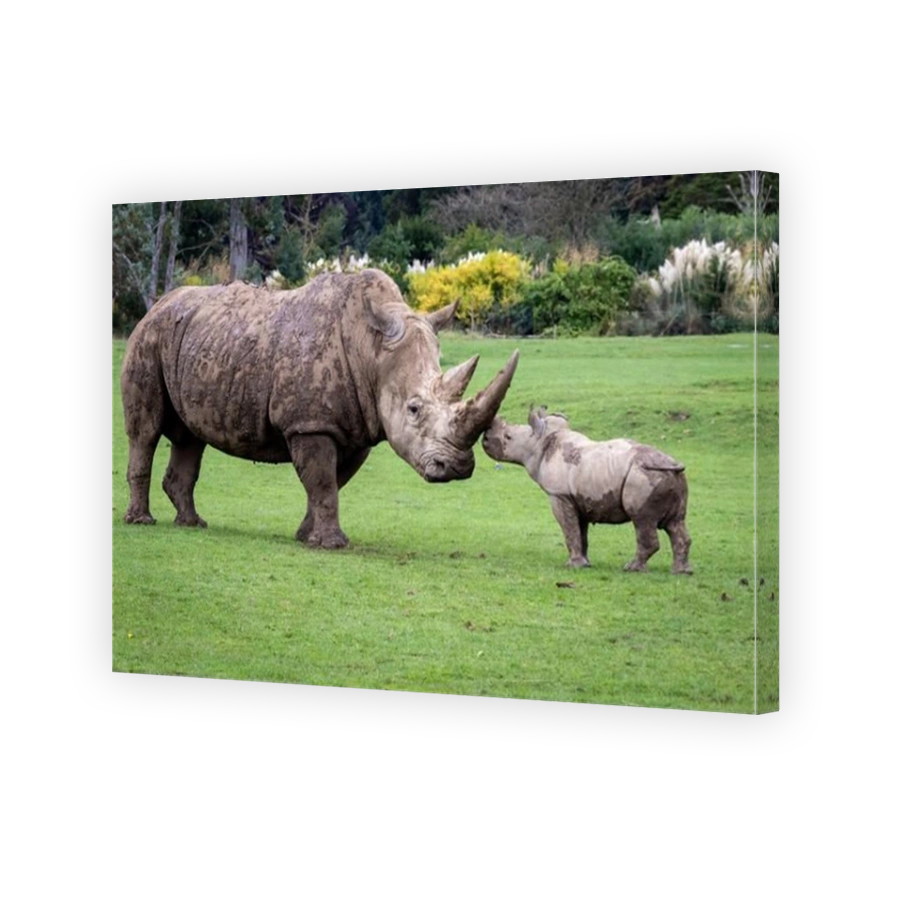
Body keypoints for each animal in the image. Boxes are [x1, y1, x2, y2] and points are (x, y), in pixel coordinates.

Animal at [121, 269, 519, 548]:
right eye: (414, 409)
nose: (457, 468)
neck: (371, 349)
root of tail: (158, 304)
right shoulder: (310, 423)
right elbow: (323, 480)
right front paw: (332, 545)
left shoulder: (357, 428)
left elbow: (331, 482)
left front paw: (306, 536)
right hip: (147, 339)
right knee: (145, 431)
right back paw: (141, 522)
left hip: (192, 341)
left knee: (190, 437)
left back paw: (192, 524)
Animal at [482, 407, 692, 573]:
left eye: (508, 437)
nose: (484, 438)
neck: (541, 442)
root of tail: (673, 464)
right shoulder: (578, 498)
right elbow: (580, 533)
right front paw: (585, 563)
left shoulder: (559, 495)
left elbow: (569, 530)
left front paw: (573, 566)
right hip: (670, 478)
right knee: (675, 523)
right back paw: (681, 572)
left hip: (642, 477)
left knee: (641, 519)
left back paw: (632, 568)